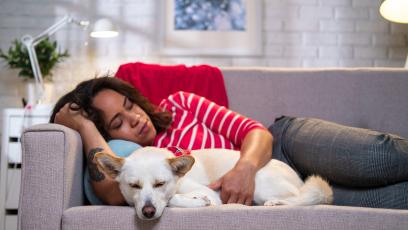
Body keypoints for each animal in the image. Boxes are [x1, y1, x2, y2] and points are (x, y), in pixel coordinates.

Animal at [96, 146, 334, 220]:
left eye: (160, 184)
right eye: (134, 186)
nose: (147, 212)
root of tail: (299, 179)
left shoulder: (213, 195)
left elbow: (172, 199)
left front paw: (197, 201)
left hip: (260, 184)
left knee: (301, 199)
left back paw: (277, 203)